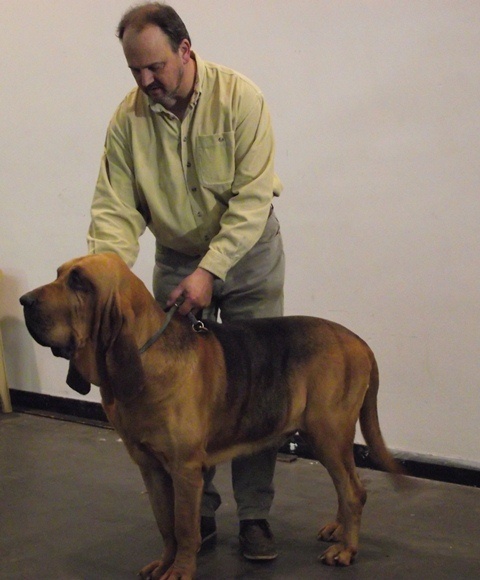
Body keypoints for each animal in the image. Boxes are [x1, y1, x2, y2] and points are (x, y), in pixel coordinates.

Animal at [20, 252, 403, 579]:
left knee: (354, 491)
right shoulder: (151, 468)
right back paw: (338, 529)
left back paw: (346, 549)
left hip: (328, 435)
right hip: (323, 439)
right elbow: (166, 525)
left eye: (79, 282)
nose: (24, 301)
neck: (146, 357)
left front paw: (180, 570)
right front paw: (164, 563)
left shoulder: (186, 469)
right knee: (347, 486)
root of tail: (359, 342)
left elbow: (185, 527)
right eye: (59, 273)